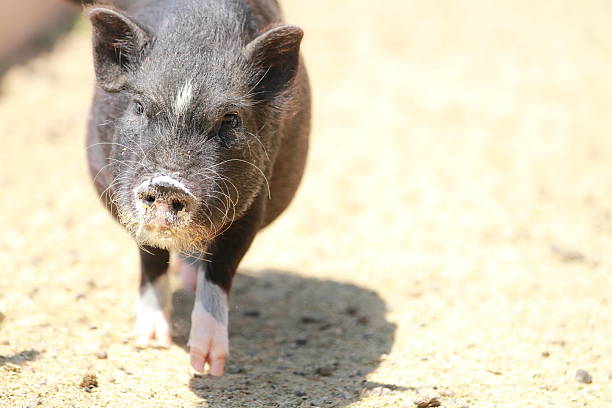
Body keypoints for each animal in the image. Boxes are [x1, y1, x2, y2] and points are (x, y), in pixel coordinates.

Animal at [82, 0, 310, 376]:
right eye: (139, 107)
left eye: (230, 119)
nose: (166, 184)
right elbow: (151, 257)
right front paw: (151, 342)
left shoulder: (252, 202)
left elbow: (220, 267)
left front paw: (207, 367)